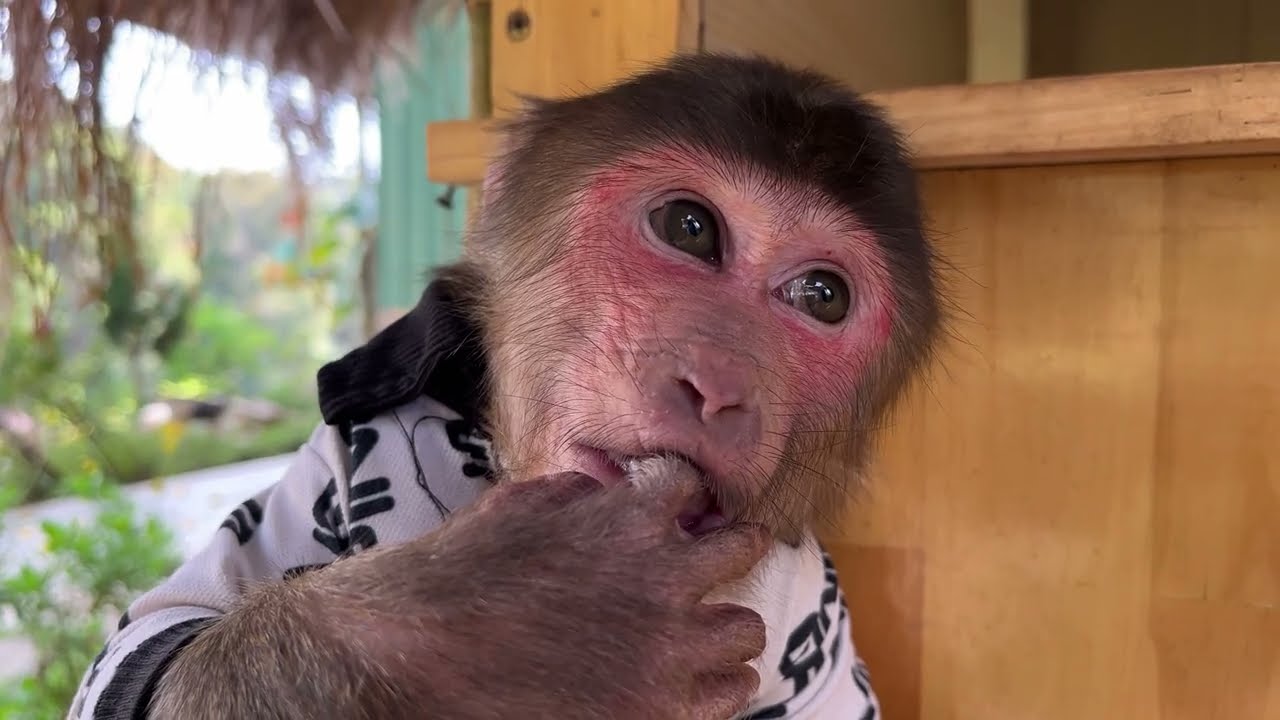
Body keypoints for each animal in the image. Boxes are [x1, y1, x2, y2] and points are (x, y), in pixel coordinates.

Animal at [68, 53, 941, 720]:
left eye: (822, 296)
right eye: (690, 228)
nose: (718, 385)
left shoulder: (818, 611)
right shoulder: (325, 465)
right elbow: (150, 639)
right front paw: (523, 638)